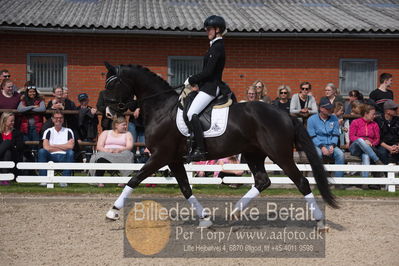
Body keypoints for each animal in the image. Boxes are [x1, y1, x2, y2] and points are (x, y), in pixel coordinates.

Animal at [103, 61, 338, 227]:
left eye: (113, 84)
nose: (109, 113)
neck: (162, 108)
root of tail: (284, 114)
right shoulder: (173, 159)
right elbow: (185, 188)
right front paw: (205, 219)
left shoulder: (161, 155)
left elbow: (134, 179)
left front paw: (113, 211)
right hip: (253, 154)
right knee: (262, 181)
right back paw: (234, 212)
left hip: (280, 155)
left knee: (302, 182)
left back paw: (319, 221)